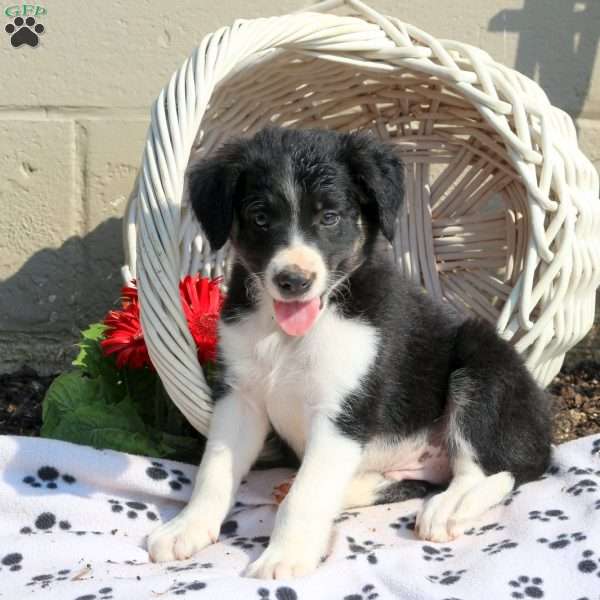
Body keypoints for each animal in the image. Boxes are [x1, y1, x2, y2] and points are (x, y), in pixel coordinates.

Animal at [148, 127, 552, 580]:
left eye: (330, 217)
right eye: (260, 217)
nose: (293, 280)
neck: (289, 334)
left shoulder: (343, 410)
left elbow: (307, 494)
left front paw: (284, 556)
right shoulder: (239, 397)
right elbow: (214, 471)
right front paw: (186, 528)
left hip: (483, 364)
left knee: (490, 471)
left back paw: (449, 509)